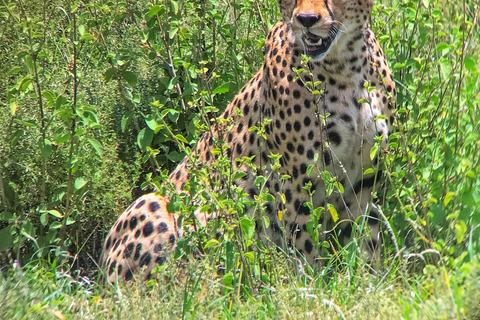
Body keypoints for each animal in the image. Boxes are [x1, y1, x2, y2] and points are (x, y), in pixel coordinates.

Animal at [100, 0, 394, 282]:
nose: (306, 20)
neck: (346, 63)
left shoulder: (365, 180)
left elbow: (368, 243)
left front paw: (370, 284)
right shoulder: (298, 185)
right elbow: (305, 249)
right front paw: (309, 289)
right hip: (153, 202)